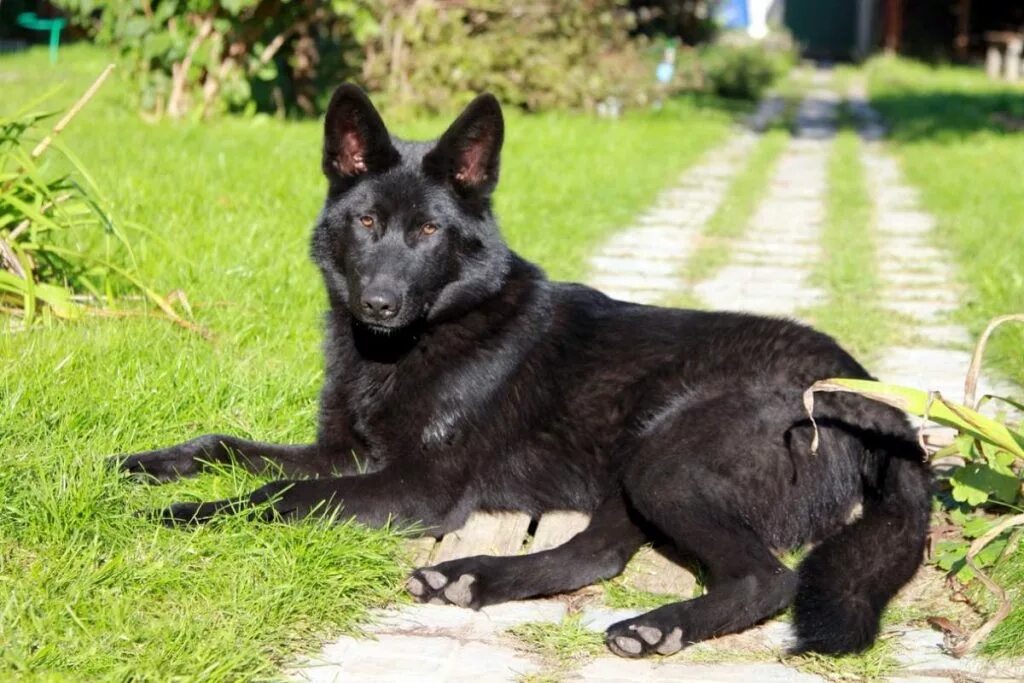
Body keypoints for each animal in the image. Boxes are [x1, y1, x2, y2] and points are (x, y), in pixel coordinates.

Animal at [116, 85, 933, 655]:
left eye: (429, 230)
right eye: (367, 222)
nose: (379, 303)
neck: (419, 342)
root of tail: (870, 394)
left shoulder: (417, 487)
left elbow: (278, 492)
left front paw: (185, 515)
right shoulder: (341, 450)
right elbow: (224, 444)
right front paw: (148, 465)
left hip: (667, 458)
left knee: (768, 577)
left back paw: (657, 626)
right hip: (636, 463)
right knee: (596, 553)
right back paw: (471, 578)